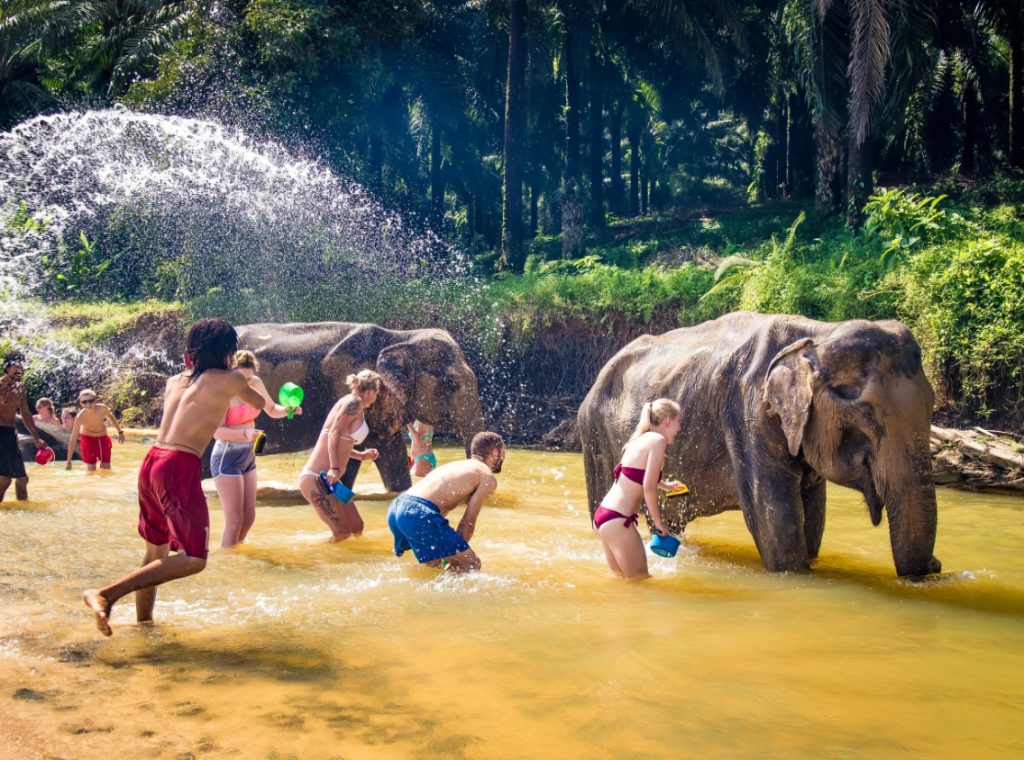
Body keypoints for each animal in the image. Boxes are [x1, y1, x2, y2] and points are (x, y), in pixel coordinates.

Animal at [578, 311, 941, 578]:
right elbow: (778, 527)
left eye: (932, 405)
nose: (936, 565)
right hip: (594, 438)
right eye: (866, 413)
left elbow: (812, 523)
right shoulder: (748, 415)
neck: (818, 335)